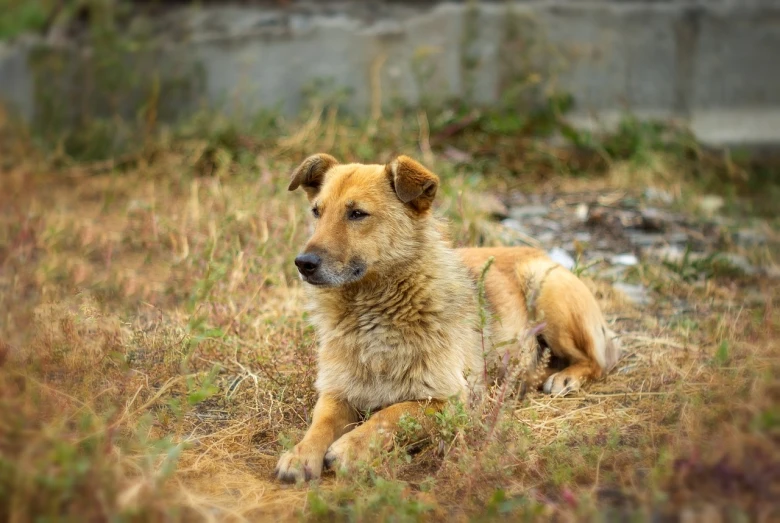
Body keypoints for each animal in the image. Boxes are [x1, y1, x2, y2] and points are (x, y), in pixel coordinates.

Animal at [278, 152, 620, 484]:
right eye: (317, 212)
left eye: (357, 214)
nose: (303, 263)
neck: (371, 309)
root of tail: (541, 253)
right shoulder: (337, 392)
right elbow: (320, 424)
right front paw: (301, 453)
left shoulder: (450, 401)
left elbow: (391, 414)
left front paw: (351, 447)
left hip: (548, 296)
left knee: (596, 361)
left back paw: (566, 377)